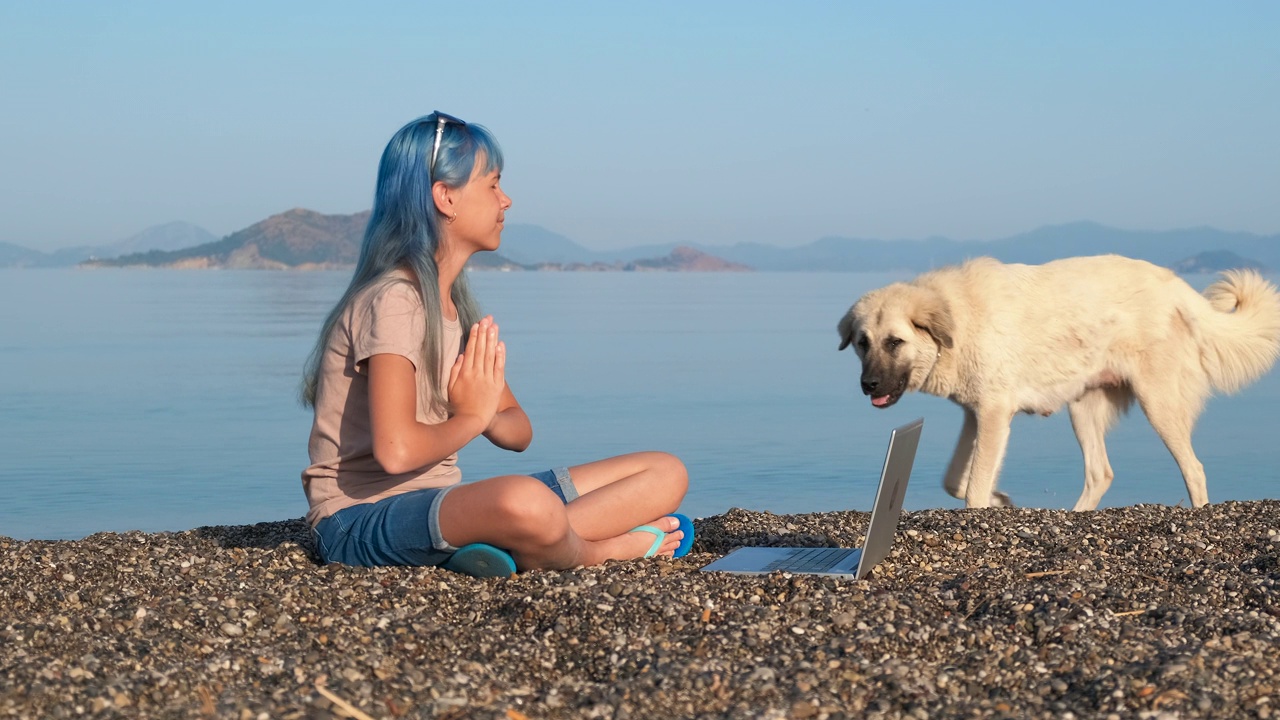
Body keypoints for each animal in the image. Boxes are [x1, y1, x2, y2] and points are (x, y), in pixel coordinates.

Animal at [834, 254, 1280, 507]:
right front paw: (1000, 498)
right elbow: (955, 481)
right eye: (862, 343)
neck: (958, 321)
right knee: (1101, 474)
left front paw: (985, 502)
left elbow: (972, 488)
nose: (868, 385)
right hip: (1083, 408)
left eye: (895, 342)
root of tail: (1177, 287)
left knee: (1195, 469)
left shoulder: (994, 414)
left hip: (1159, 405)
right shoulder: (976, 415)